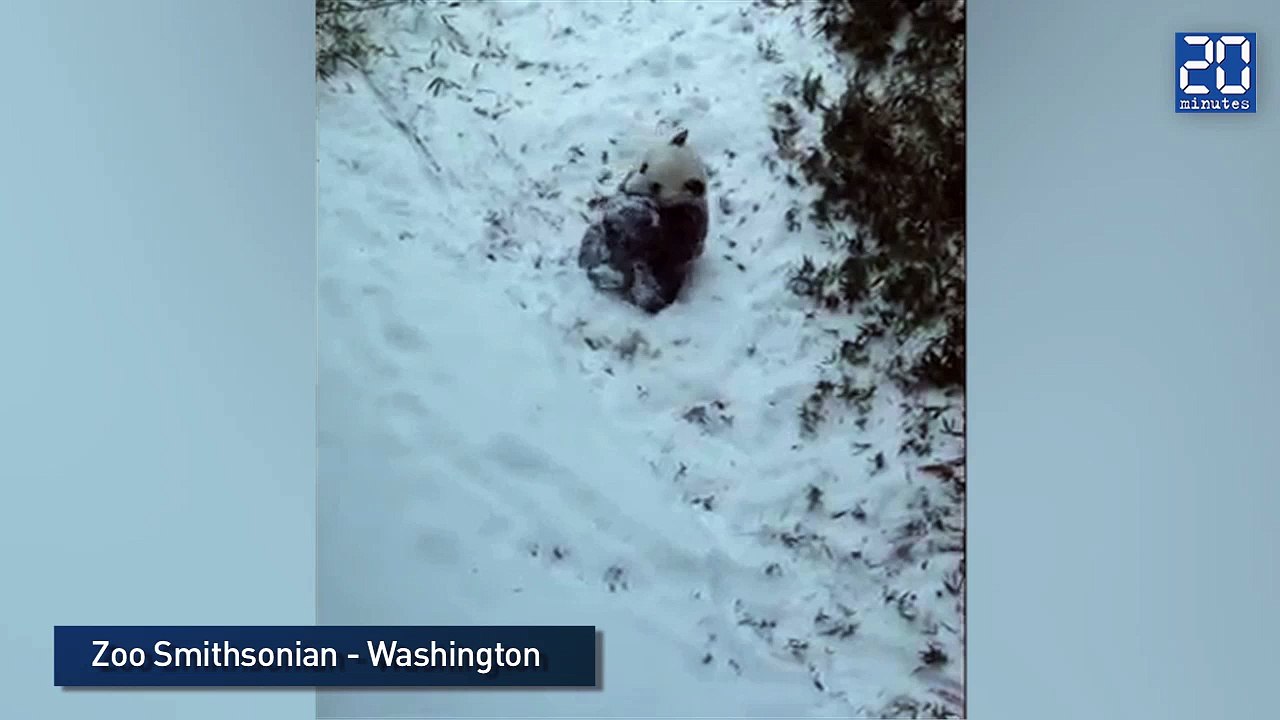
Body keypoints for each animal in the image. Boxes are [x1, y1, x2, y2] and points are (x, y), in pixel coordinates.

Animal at [577, 129, 709, 314]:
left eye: (656, 186)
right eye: (644, 166)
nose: (629, 189)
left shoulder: (688, 218)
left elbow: (673, 243)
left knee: (652, 289)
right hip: (596, 241)